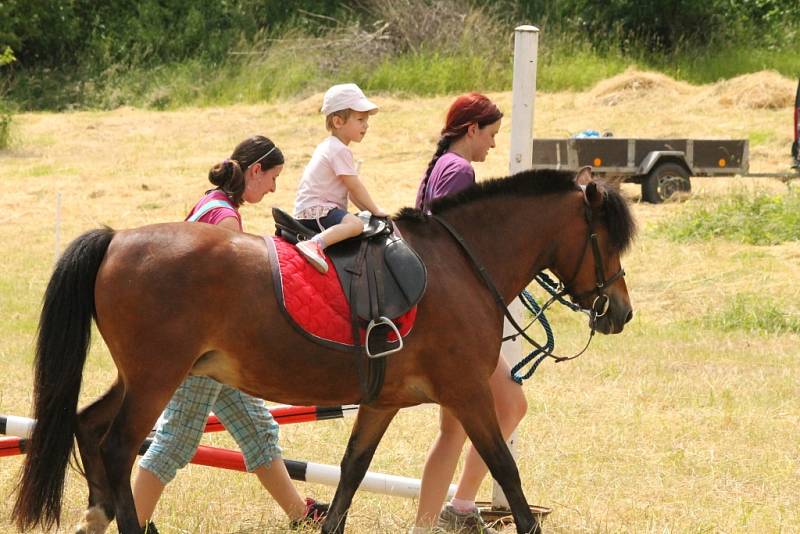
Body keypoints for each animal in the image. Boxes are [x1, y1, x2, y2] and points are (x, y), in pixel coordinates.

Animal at [10, 170, 636, 532]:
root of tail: (118, 239)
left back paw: (98, 514)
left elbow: (350, 477)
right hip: (157, 377)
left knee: (88, 425)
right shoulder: (467, 393)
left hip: (143, 376)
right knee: (117, 447)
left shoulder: (382, 403)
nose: (621, 313)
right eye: (607, 239)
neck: (460, 265)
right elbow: (506, 469)